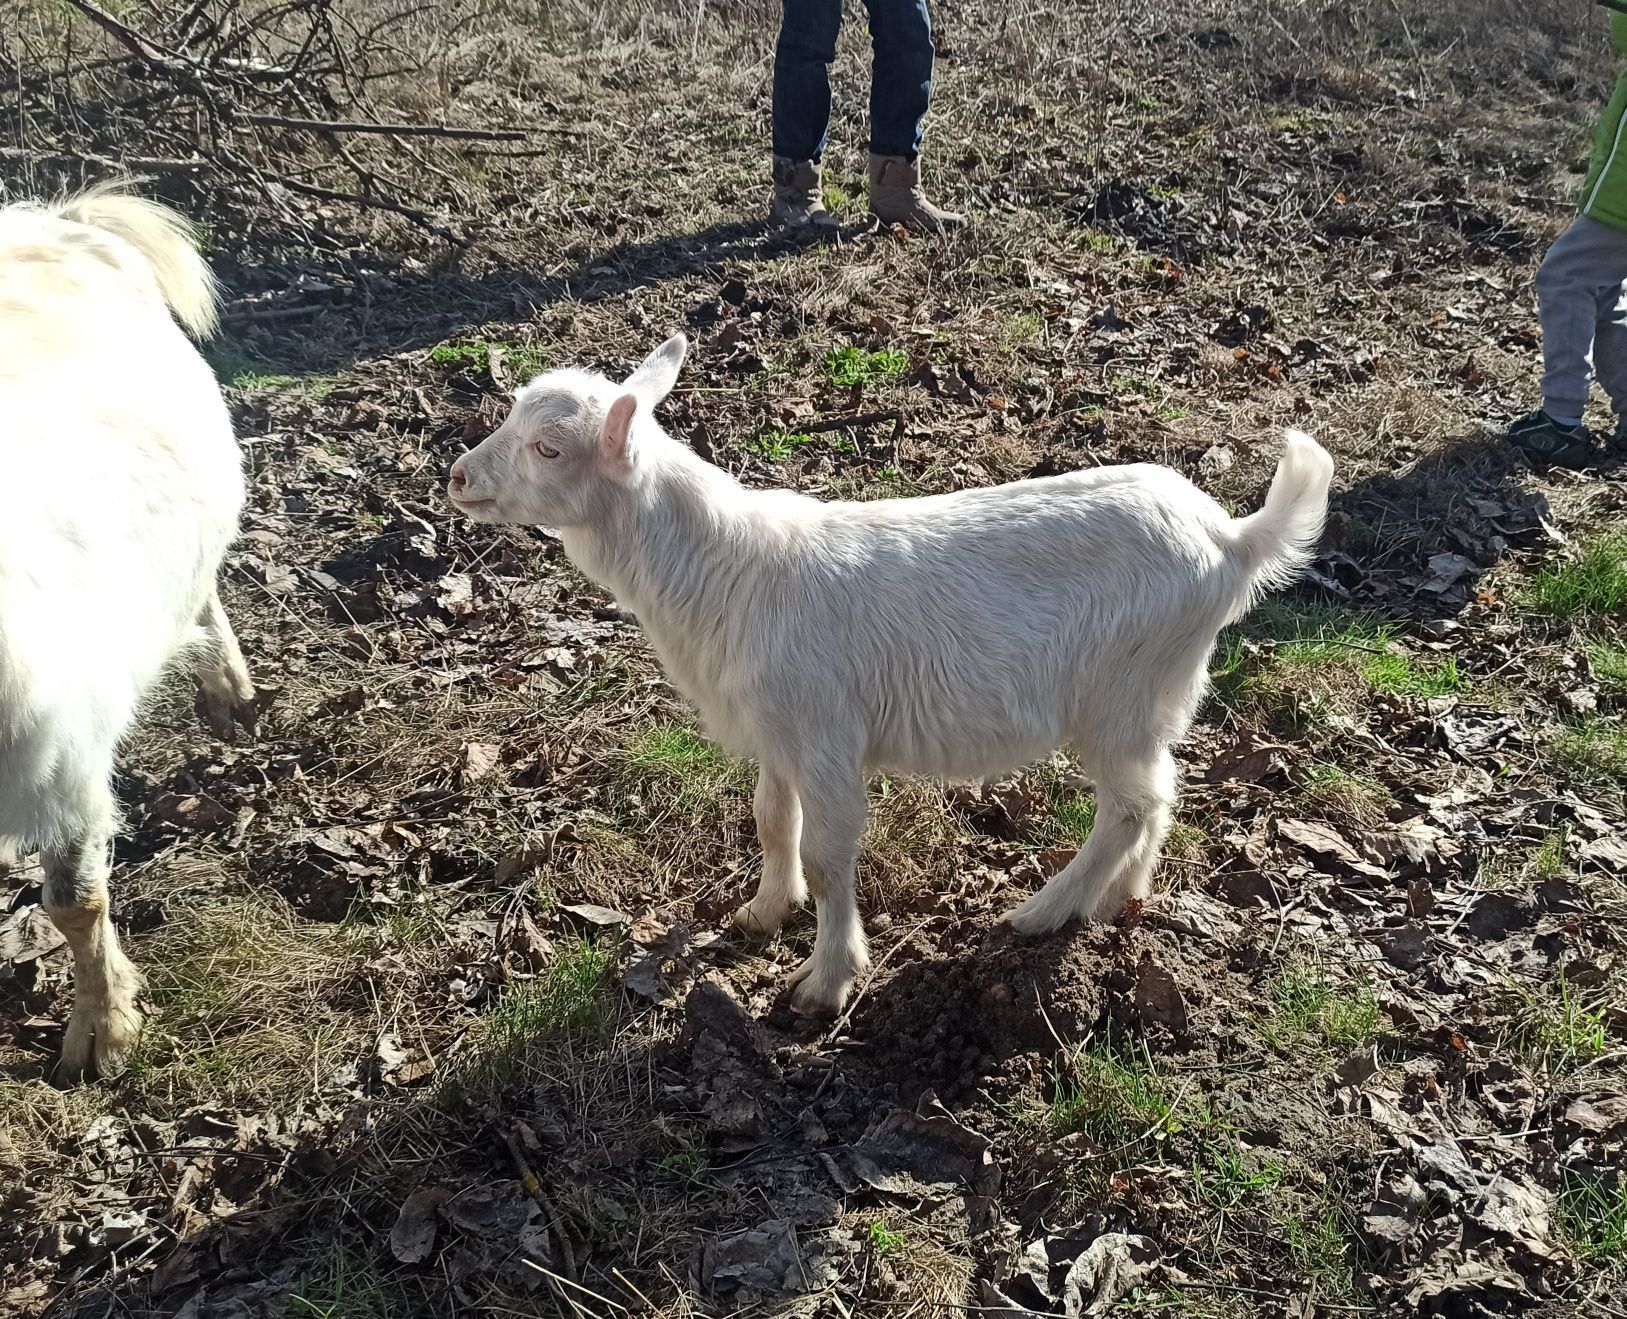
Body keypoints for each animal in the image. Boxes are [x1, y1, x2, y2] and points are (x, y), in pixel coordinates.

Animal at [449, 335, 1334, 1014]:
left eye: (548, 447)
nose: (458, 476)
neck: (724, 570)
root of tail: (1231, 540)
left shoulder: (825, 734)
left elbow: (827, 852)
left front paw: (824, 981)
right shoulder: (778, 732)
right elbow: (772, 820)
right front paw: (761, 912)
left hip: (1119, 690)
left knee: (1131, 801)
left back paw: (1042, 910)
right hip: (1154, 697)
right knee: (1156, 795)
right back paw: (1115, 896)